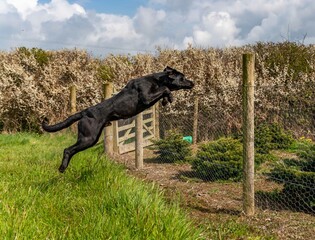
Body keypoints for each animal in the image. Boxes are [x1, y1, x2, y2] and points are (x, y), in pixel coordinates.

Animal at [42, 66, 195, 172]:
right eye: (182, 77)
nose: (193, 83)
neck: (158, 80)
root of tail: (85, 112)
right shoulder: (146, 97)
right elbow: (165, 89)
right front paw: (169, 96)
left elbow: (164, 92)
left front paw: (166, 100)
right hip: (88, 138)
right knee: (67, 150)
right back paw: (62, 168)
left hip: (91, 139)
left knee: (71, 150)